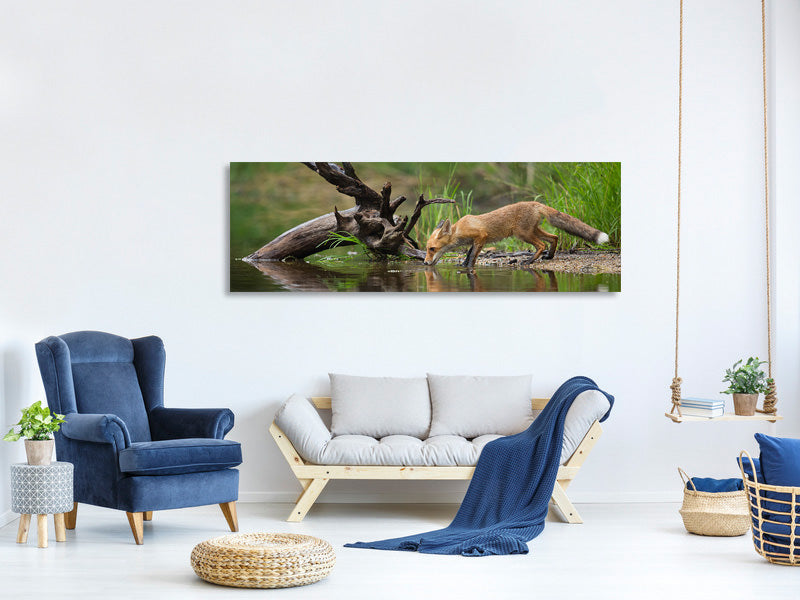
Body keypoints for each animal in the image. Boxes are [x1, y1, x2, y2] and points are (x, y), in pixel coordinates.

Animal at [423, 201, 609, 268]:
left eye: (432, 249)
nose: (424, 263)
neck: (460, 230)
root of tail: (535, 203)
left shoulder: (481, 236)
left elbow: (473, 256)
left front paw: (467, 267)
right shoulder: (474, 241)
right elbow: (470, 253)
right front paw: (463, 265)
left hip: (522, 234)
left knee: (542, 244)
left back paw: (529, 261)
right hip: (532, 231)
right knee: (554, 237)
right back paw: (549, 256)